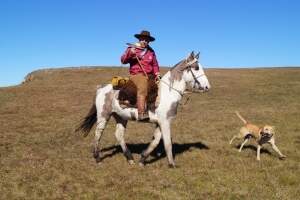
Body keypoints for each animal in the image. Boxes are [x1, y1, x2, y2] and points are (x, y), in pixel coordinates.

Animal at [76, 51, 210, 167]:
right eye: (196, 67)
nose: (207, 87)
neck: (167, 93)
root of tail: (101, 88)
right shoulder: (165, 122)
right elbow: (167, 142)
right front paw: (172, 164)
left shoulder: (160, 123)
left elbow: (156, 141)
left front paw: (143, 158)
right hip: (104, 115)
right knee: (98, 133)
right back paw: (97, 158)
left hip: (120, 117)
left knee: (119, 134)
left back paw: (130, 158)